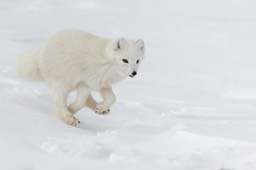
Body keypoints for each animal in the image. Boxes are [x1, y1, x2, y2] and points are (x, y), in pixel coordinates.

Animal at [17, 29, 145, 126]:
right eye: (125, 60)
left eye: (137, 61)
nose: (134, 73)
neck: (108, 64)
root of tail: (43, 50)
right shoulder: (86, 83)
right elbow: (80, 103)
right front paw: (71, 111)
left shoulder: (102, 84)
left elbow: (113, 98)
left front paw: (100, 107)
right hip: (62, 84)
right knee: (59, 104)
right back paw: (68, 118)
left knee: (88, 99)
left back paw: (101, 110)